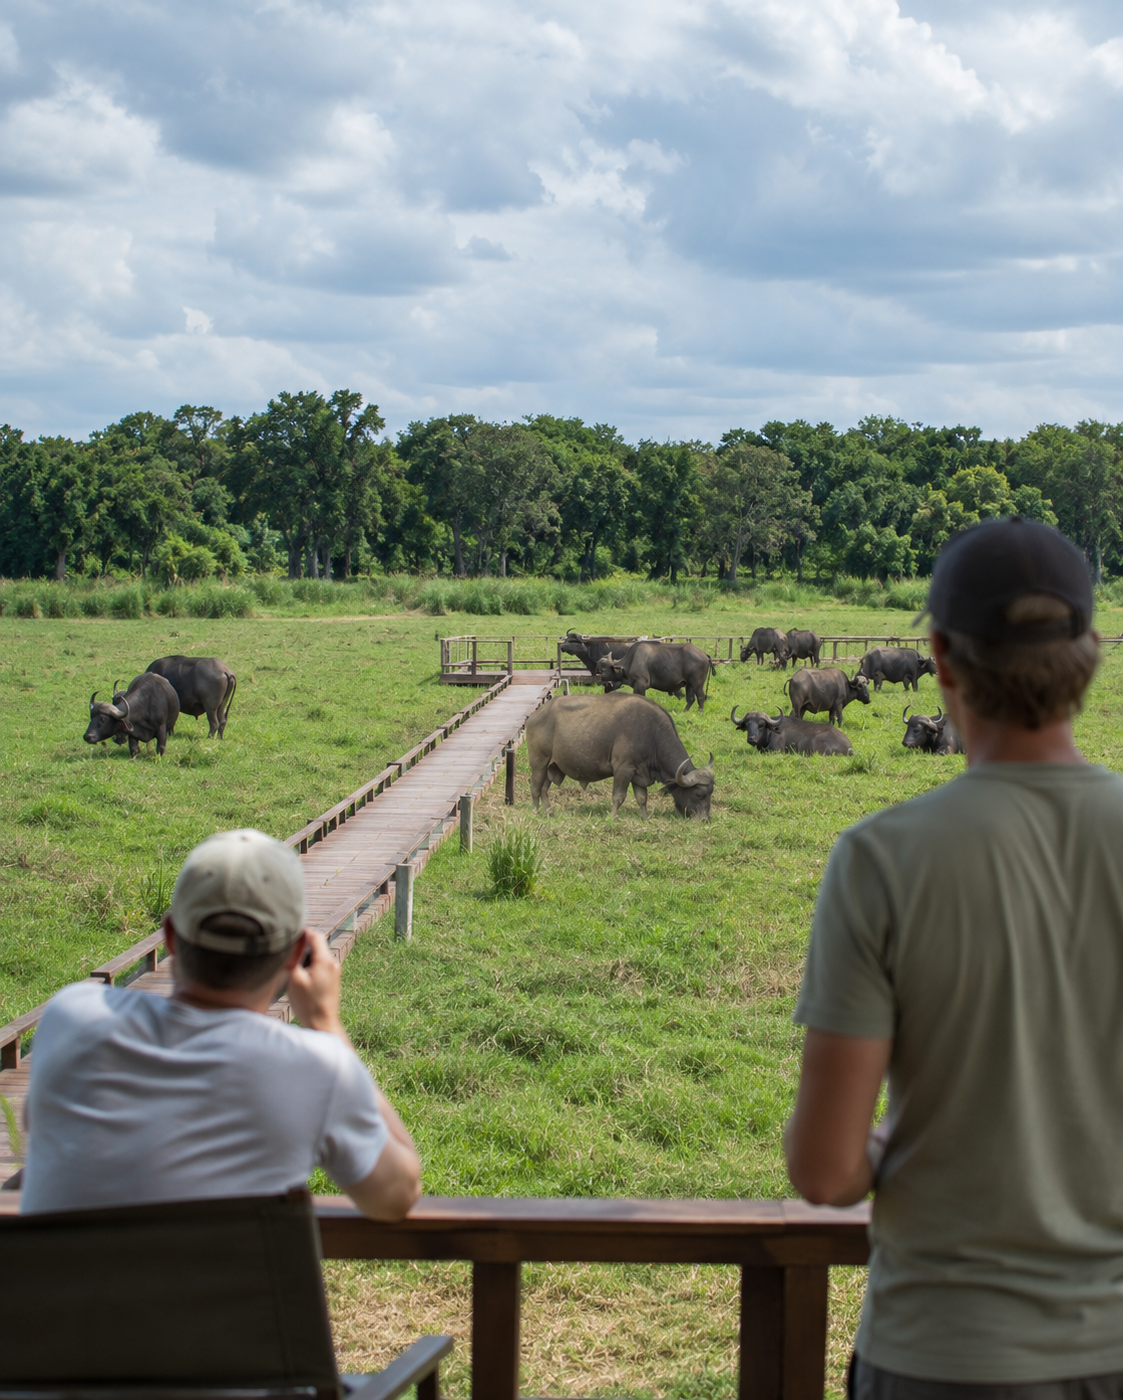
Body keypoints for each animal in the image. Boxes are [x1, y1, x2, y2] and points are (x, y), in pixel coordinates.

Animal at [527, 692, 715, 820]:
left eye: (711, 793)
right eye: (698, 794)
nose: (705, 820)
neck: (652, 732)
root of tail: (534, 716)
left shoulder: (639, 773)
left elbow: (642, 798)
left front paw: (645, 818)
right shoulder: (624, 769)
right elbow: (618, 796)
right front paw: (614, 817)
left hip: (552, 767)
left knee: (544, 789)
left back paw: (549, 812)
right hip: (539, 764)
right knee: (535, 788)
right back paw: (535, 811)